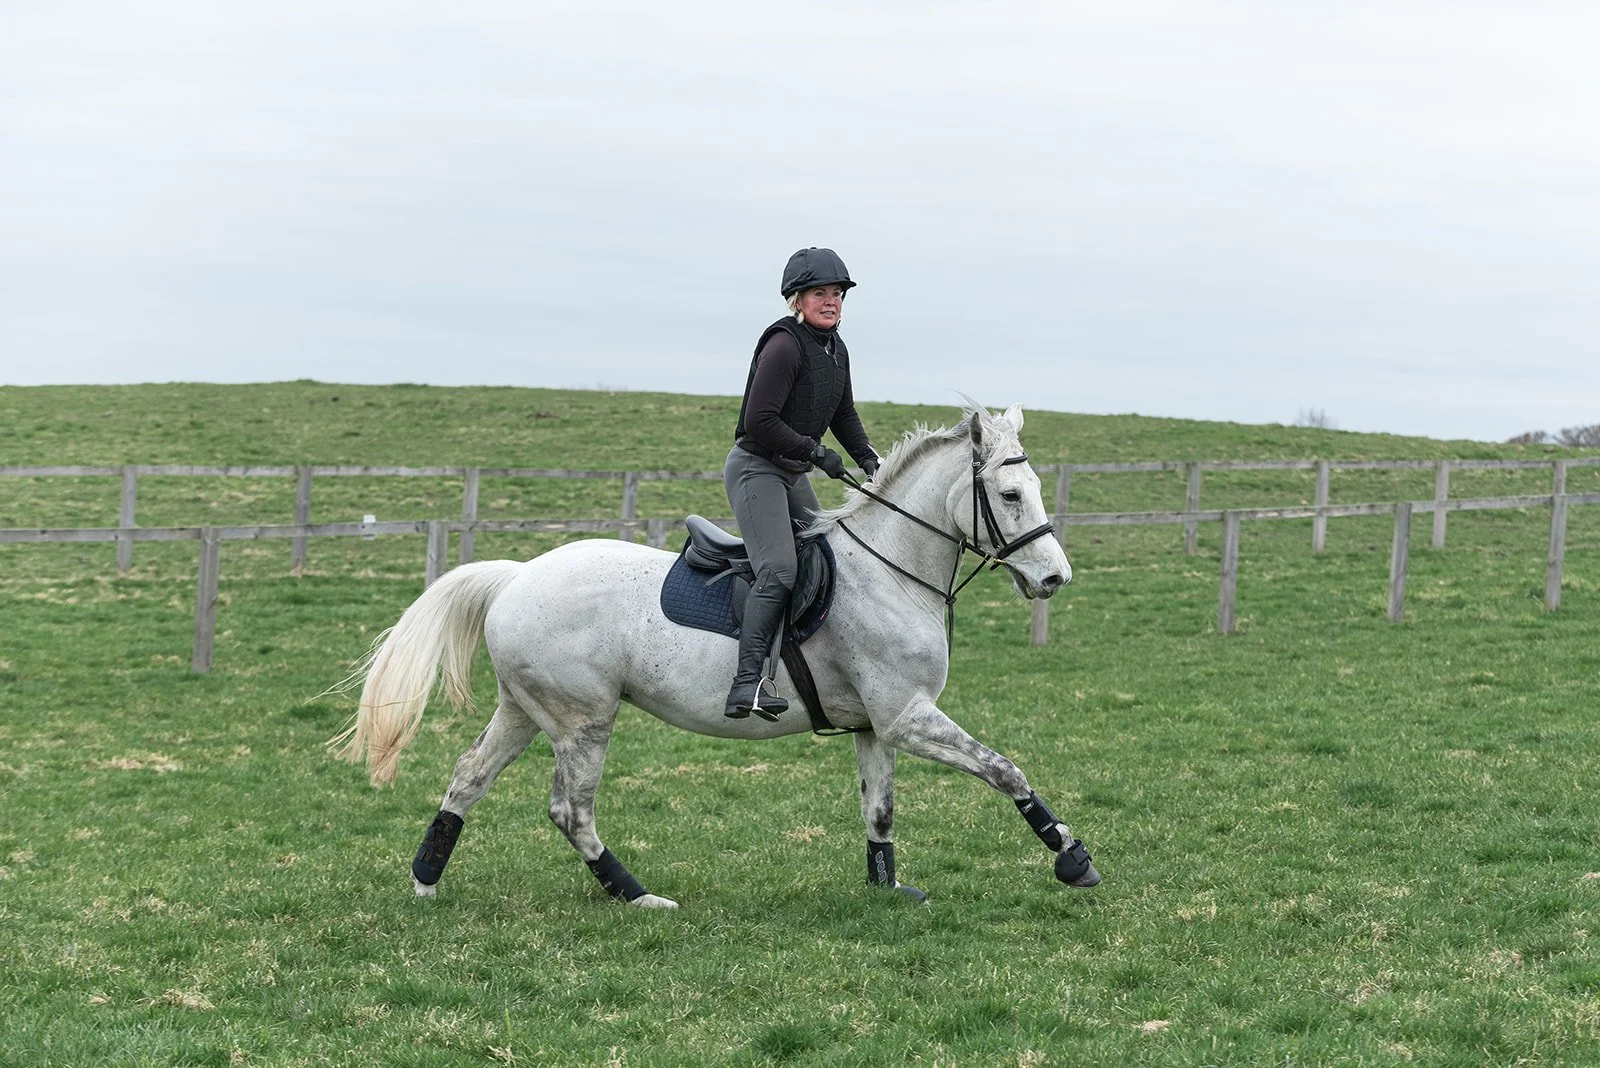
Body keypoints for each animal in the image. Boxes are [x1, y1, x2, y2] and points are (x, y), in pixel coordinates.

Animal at [331, 403, 1100, 908]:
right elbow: (1004, 769)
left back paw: (425, 880)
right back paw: (636, 895)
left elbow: (879, 813)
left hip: (524, 711)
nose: (1054, 579)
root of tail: (517, 577)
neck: (890, 570)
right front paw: (1072, 858)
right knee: (569, 811)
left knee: (468, 778)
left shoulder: (876, 726)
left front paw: (886, 889)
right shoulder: (909, 717)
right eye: (1010, 493)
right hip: (583, 720)